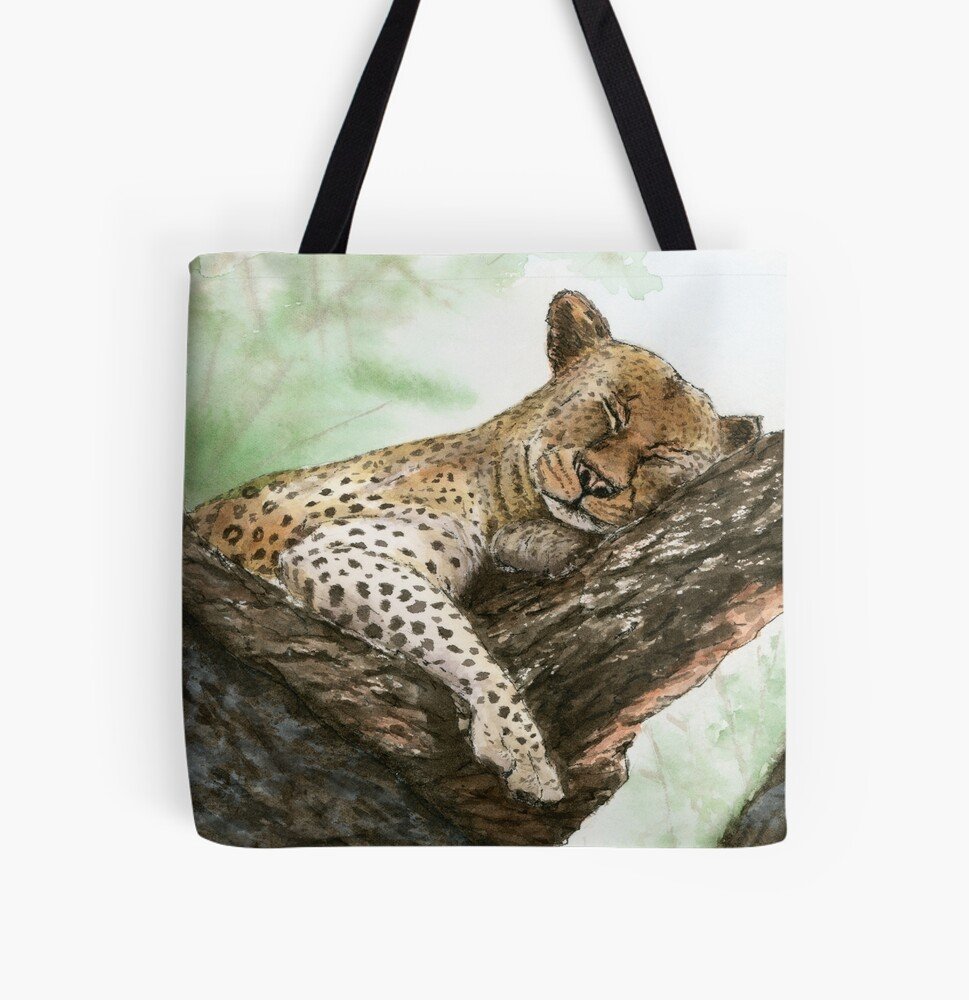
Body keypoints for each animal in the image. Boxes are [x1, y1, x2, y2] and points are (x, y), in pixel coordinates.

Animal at [189, 290, 760, 804]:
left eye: (663, 456)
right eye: (609, 409)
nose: (596, 481)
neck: (509, 494)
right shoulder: (339, 552)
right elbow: (454, 637)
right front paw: (522, 750)